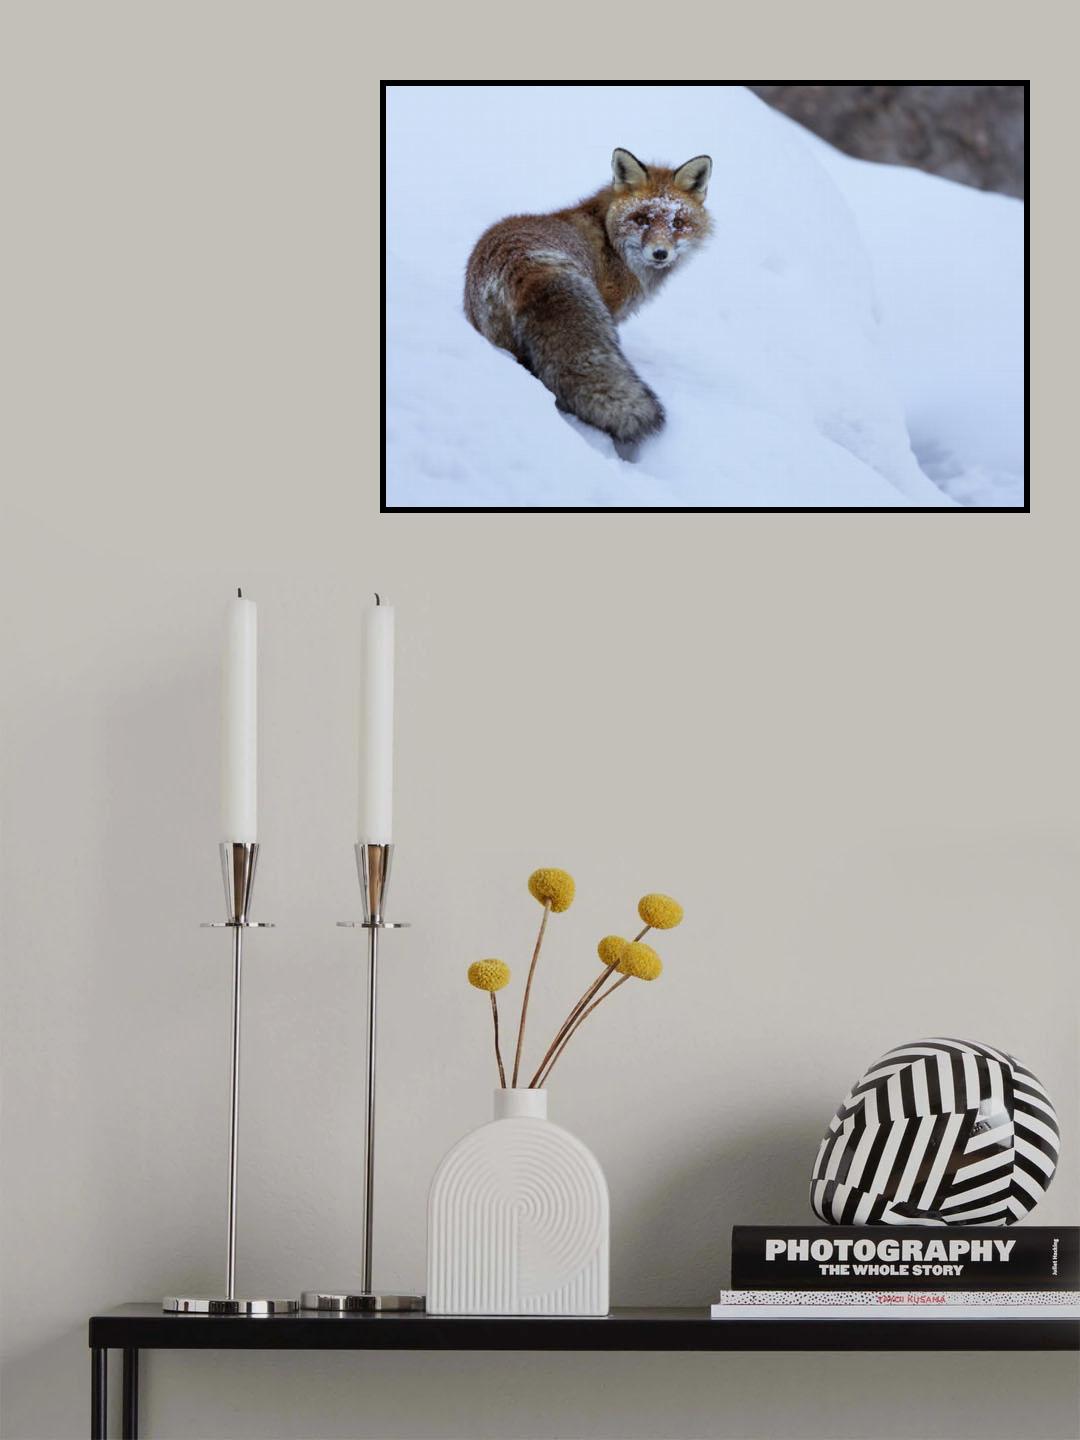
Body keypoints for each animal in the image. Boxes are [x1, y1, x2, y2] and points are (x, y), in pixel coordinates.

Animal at [464, 147, 713, 458]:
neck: (612, 245)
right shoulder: (610, 309)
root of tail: (527, 270)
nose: (660, 254)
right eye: (642, 219)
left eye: (678, 223)